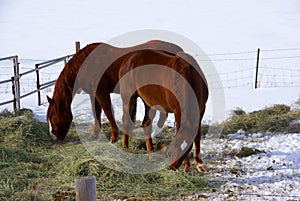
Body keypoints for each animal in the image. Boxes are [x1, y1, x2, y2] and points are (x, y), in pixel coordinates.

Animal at [47, 40, 183, 144]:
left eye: (52, 116)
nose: (53, 137)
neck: (86, 64)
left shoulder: (101, 92)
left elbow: (108, 111)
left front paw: (114, 136)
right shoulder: (93, 93)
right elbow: (96, 112)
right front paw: (95, 134)